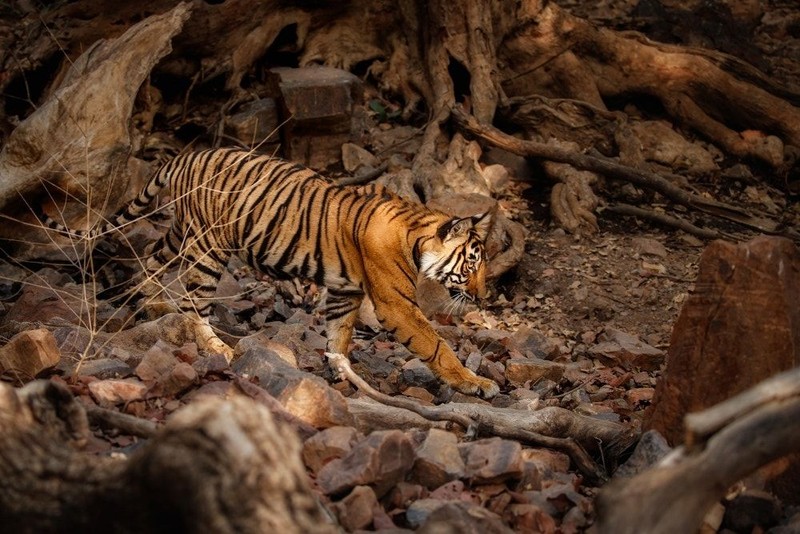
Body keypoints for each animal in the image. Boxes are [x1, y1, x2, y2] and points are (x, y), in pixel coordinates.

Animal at [43, 149, 500, 400]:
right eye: (472, 265)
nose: (484, 298)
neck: (416, 235)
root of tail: (185, 156)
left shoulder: (344, 292)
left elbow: (339, 335)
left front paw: (341, 373)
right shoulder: (395, 304)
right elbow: (436, 345)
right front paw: (475, 383)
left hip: (179, 235)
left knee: (152, 264)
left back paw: (144, 305)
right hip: (208, 248)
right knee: (194, 301)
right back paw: (218, 348)